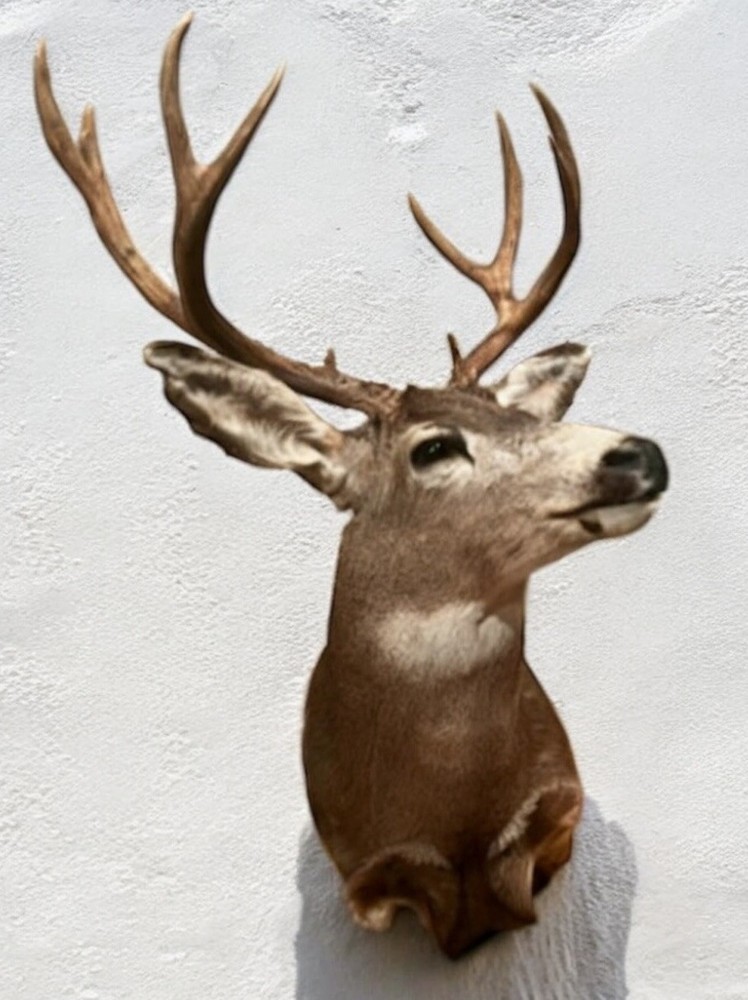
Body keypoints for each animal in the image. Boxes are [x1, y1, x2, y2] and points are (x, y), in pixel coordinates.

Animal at [34, 15, 668, 959]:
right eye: (434, 448)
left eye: (510, 414)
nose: (638, 455)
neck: (448, 821)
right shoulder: (362, 869)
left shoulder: (555, 809)